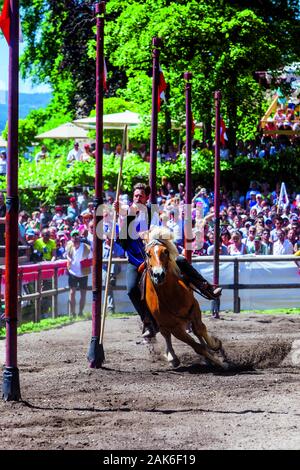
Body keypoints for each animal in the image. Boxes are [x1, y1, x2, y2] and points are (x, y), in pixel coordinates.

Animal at [144, 228, 227, 370]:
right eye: (148, 254)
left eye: (165, 251)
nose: (158, 275)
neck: (171, 295)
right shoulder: (174, 327)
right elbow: (197, 347)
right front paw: (220, 363)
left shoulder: (194, 307)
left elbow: (200, 329)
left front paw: (215, 345)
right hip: (165, 325)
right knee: (167, 335)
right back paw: (173, 358)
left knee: (197, 331)